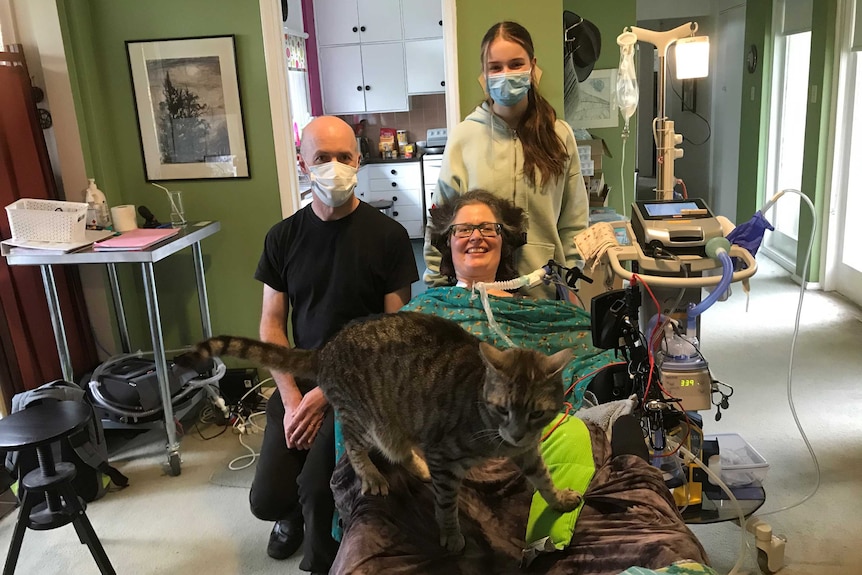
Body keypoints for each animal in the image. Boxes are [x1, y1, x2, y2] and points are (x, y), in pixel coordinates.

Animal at [186, 312, 584, 556]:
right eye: (503, 409)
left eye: (536, 413)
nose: (515, 434)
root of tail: (325, 350)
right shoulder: (444, 452)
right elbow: (446, 504)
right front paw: (451, 534)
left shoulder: (528, 452)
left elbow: (544, 479)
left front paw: (560, 499)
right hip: (367, 420)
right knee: (354, 445)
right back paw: (373, 476)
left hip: (397, 424)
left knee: (401, 451)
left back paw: (418, 468)